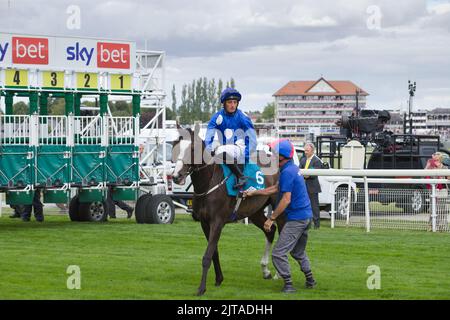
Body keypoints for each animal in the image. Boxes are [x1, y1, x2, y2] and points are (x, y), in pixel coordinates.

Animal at [171, 125, 284, 296]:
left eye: (192, 149)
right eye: (176, 148)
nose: (176, 176)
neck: (209, 183)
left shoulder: (217, 222)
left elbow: (207, 255)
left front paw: (201, 288)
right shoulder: (205, 223)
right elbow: (214, 252)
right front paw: (219, 279)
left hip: (281, 207)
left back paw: (280, 272)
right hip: (255, 211)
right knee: (270, 231)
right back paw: (266, 270)